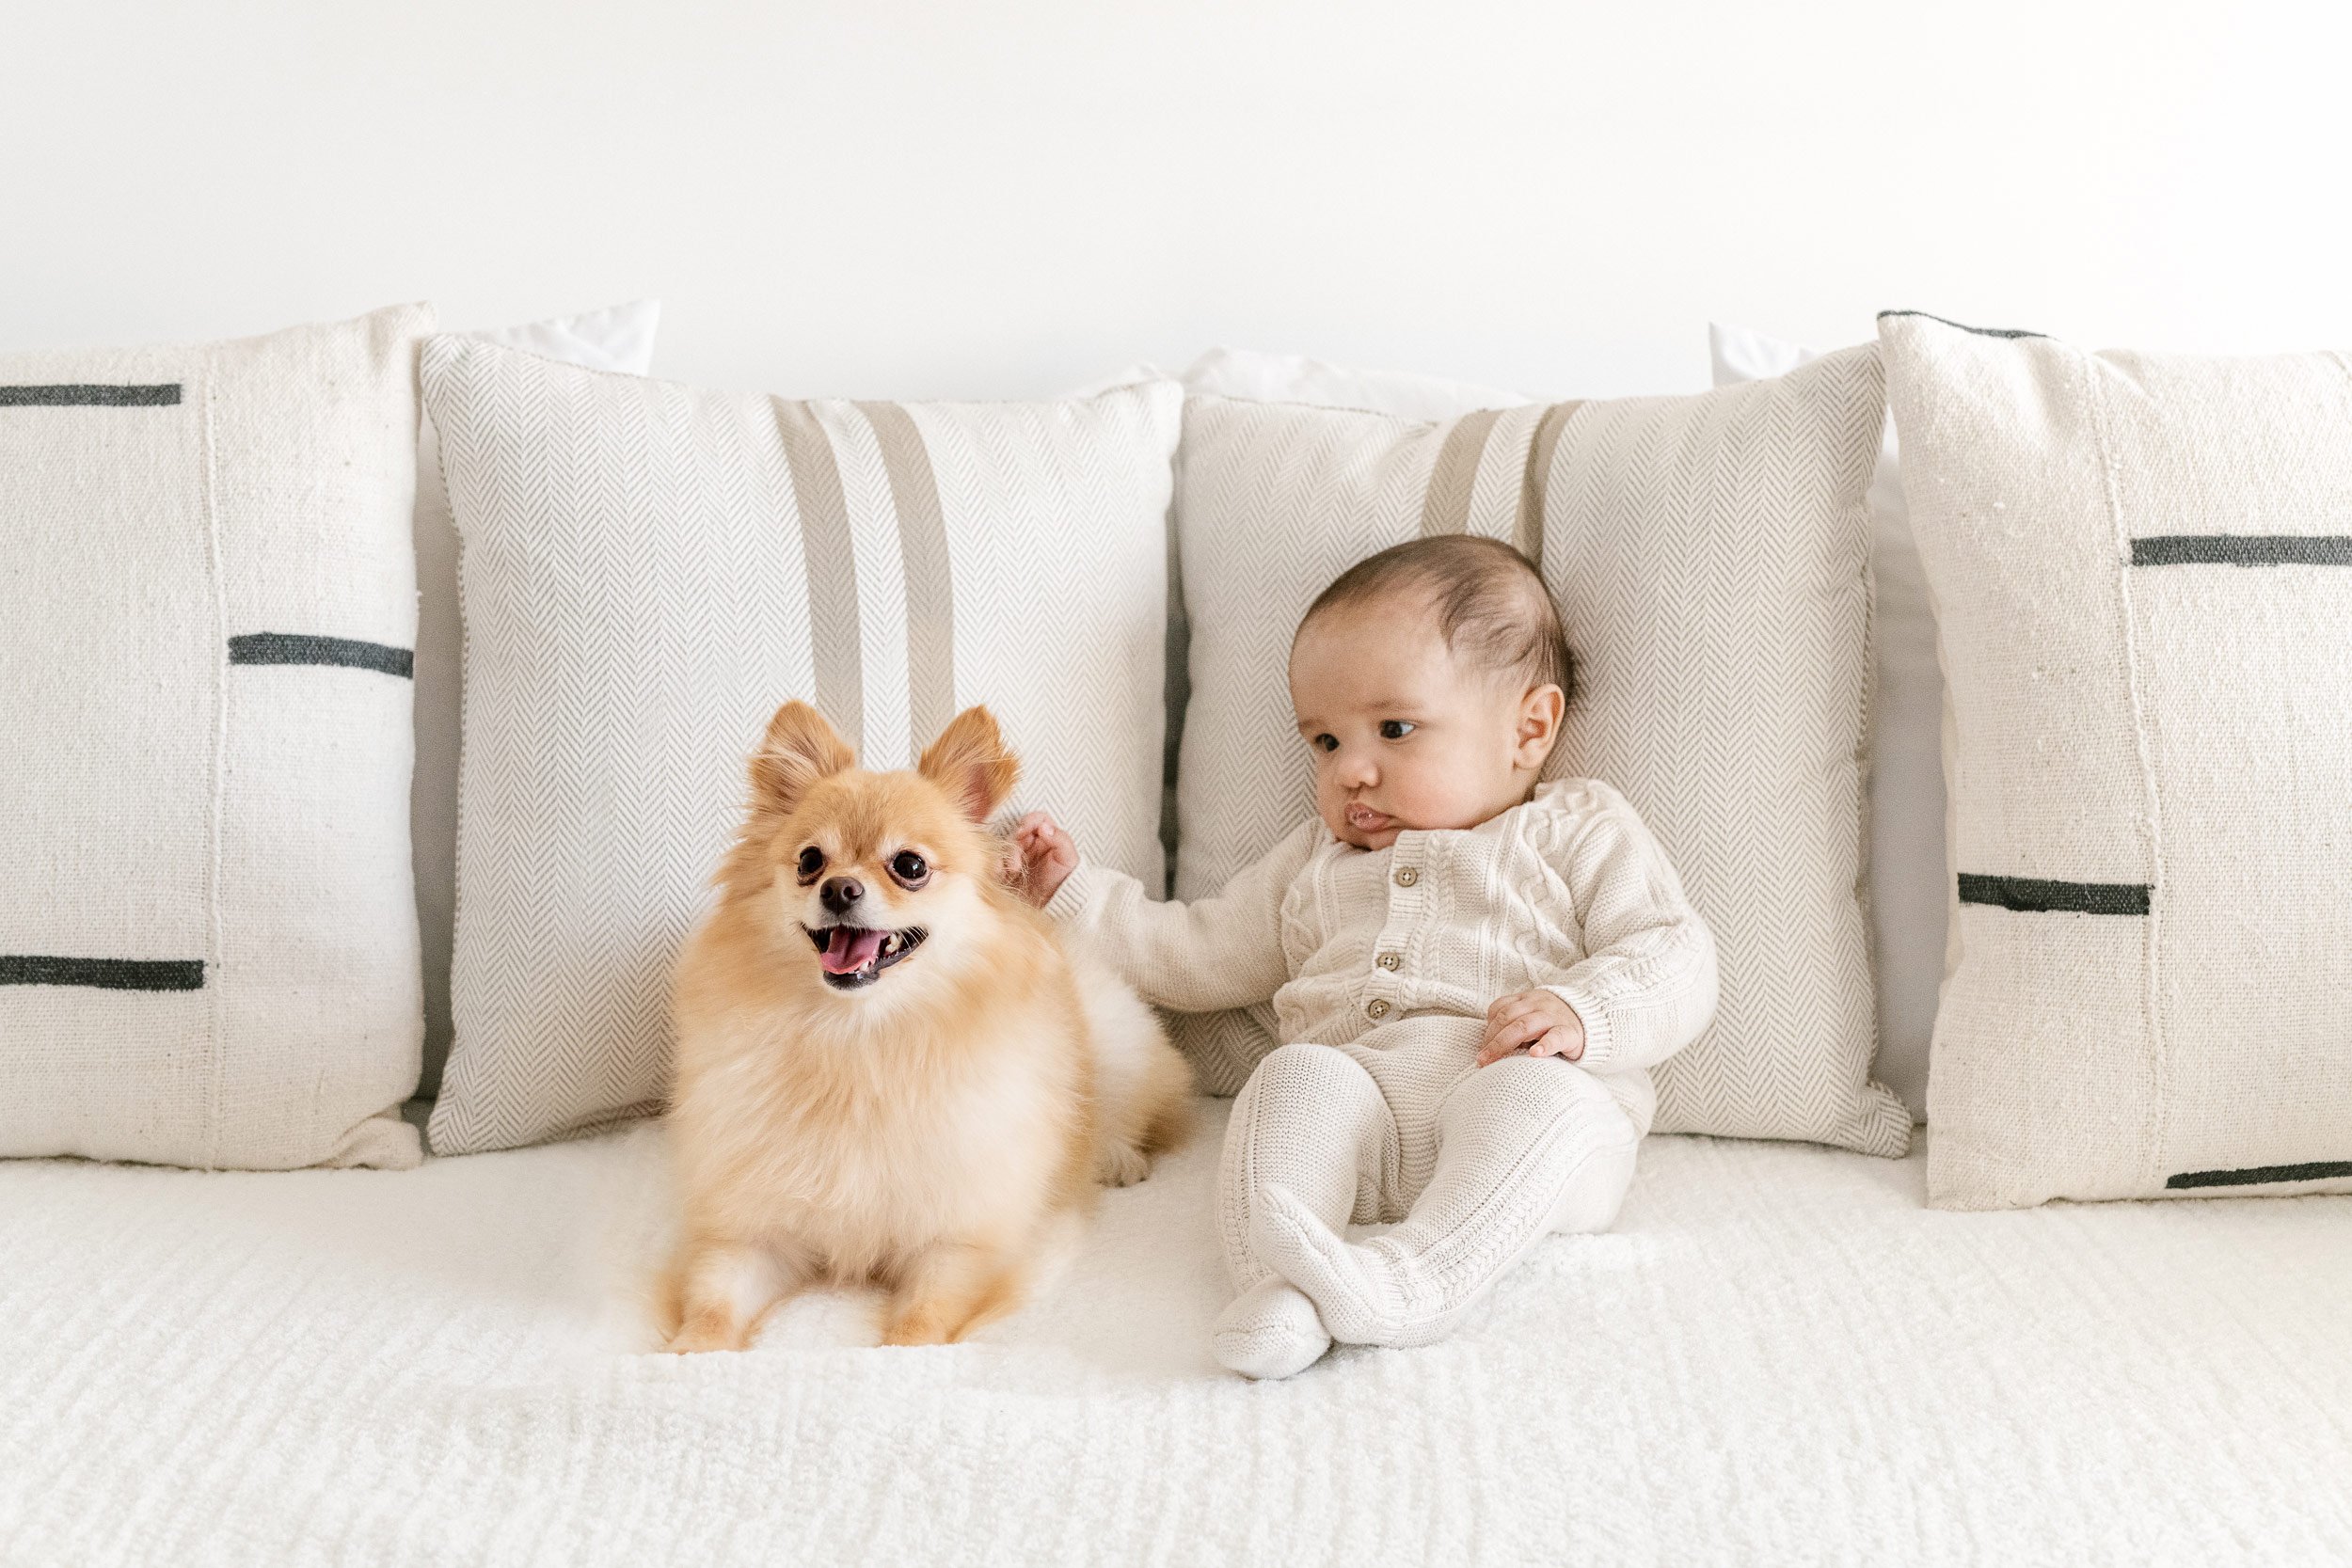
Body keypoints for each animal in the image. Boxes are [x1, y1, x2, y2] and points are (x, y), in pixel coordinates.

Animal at [659, 700, 1195, 1354]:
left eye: (909, 866)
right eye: (810, 862)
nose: (839, 888)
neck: (856, 1040)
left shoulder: (959, 1242)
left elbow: (923, 1318)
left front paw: (902, 1355)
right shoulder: (751, 1232)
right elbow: (713, 1300)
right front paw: (690, 1355)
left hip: (1117, 1041)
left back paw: (1117, 1158)